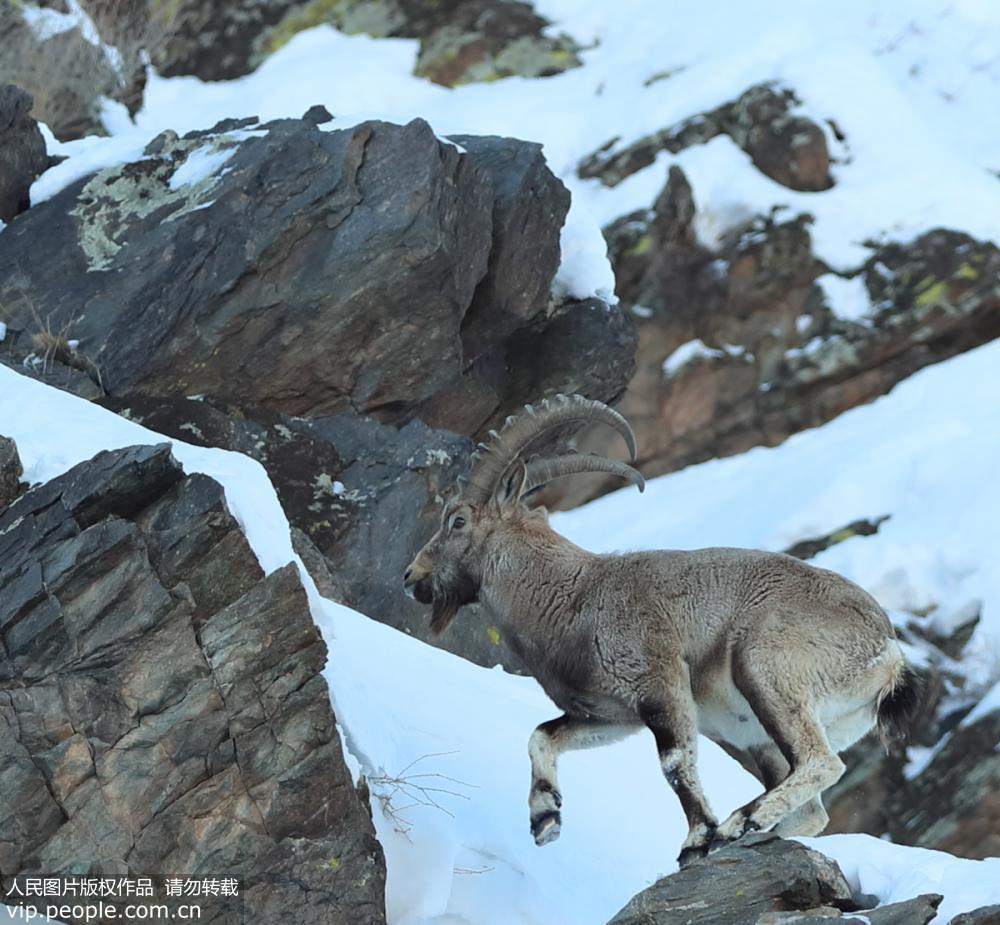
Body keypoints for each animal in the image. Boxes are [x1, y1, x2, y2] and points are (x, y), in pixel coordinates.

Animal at [403, 394, 920, 867]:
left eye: (457, 520)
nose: (412, 577)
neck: (575, 596)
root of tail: (888, 653)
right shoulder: (610, 715)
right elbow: (541, 735)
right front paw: (545, 817)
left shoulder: (660, 685)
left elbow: (674, 763)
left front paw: (696, 839)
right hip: (764, 737)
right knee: (813, 809)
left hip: (766, 670)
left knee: (821, 762)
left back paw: (738, 823)